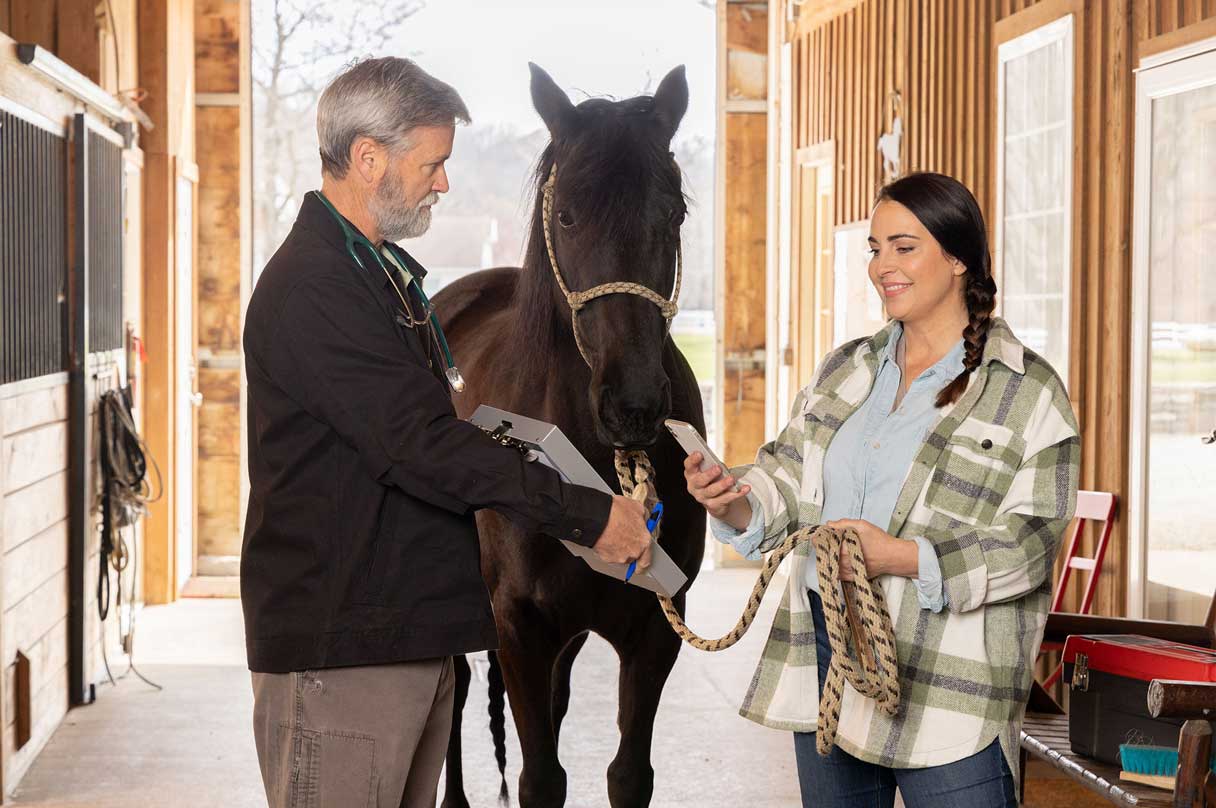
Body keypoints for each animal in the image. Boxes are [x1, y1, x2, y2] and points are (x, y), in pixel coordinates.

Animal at [435, 64, 705, 808]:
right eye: (567, 216)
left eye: (673, 214)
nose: (633, 405)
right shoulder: (519, 628)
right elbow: (539, 779)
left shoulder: (654, 632)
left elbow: (627, 774)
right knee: (453, 694)